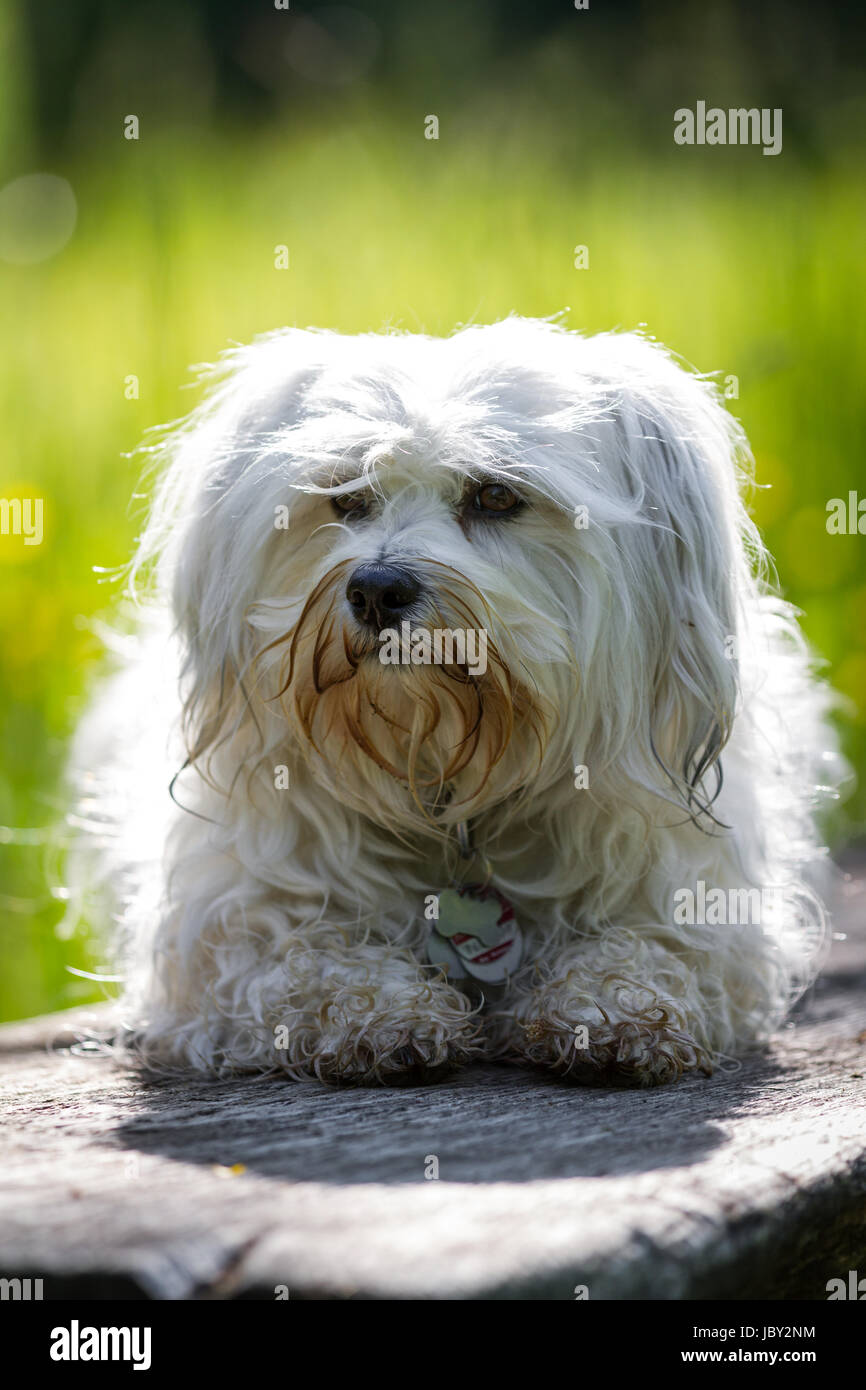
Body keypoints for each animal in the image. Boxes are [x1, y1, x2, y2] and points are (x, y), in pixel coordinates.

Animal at [81, 318, 839, 1084]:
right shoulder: (223, 934)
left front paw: (610, 1003)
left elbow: (655, 948)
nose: (376, 589)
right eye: (346, 495)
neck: (438, 765)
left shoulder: (695, 904)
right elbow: (295, 958)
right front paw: (377, 1010)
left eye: (496, 496)